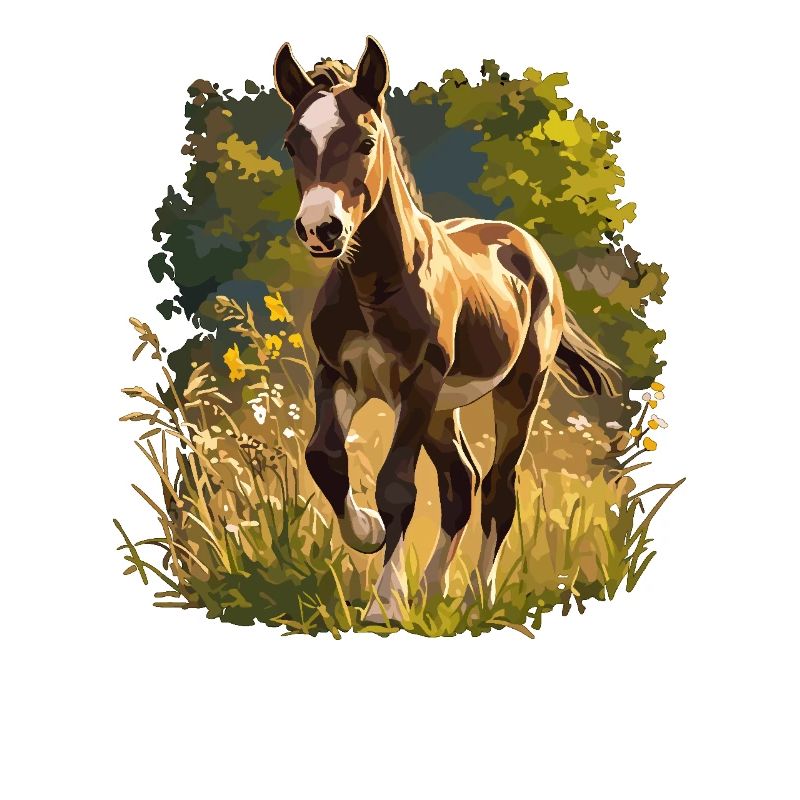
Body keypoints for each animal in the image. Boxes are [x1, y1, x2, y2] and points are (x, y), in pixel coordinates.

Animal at [273, 36, 620, 623]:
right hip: (442, 410)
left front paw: (385, 606)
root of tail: (528, 250)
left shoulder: (417, 384)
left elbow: (397, 487)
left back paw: (479, 598)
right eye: (293, 143)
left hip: (516, 389)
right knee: (461, 481)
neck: (375, 286)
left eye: (365, 141)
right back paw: (434, 591)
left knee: (498, 488)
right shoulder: (338, 375)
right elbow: (325, 456)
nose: (321, 229)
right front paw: (366, 533)